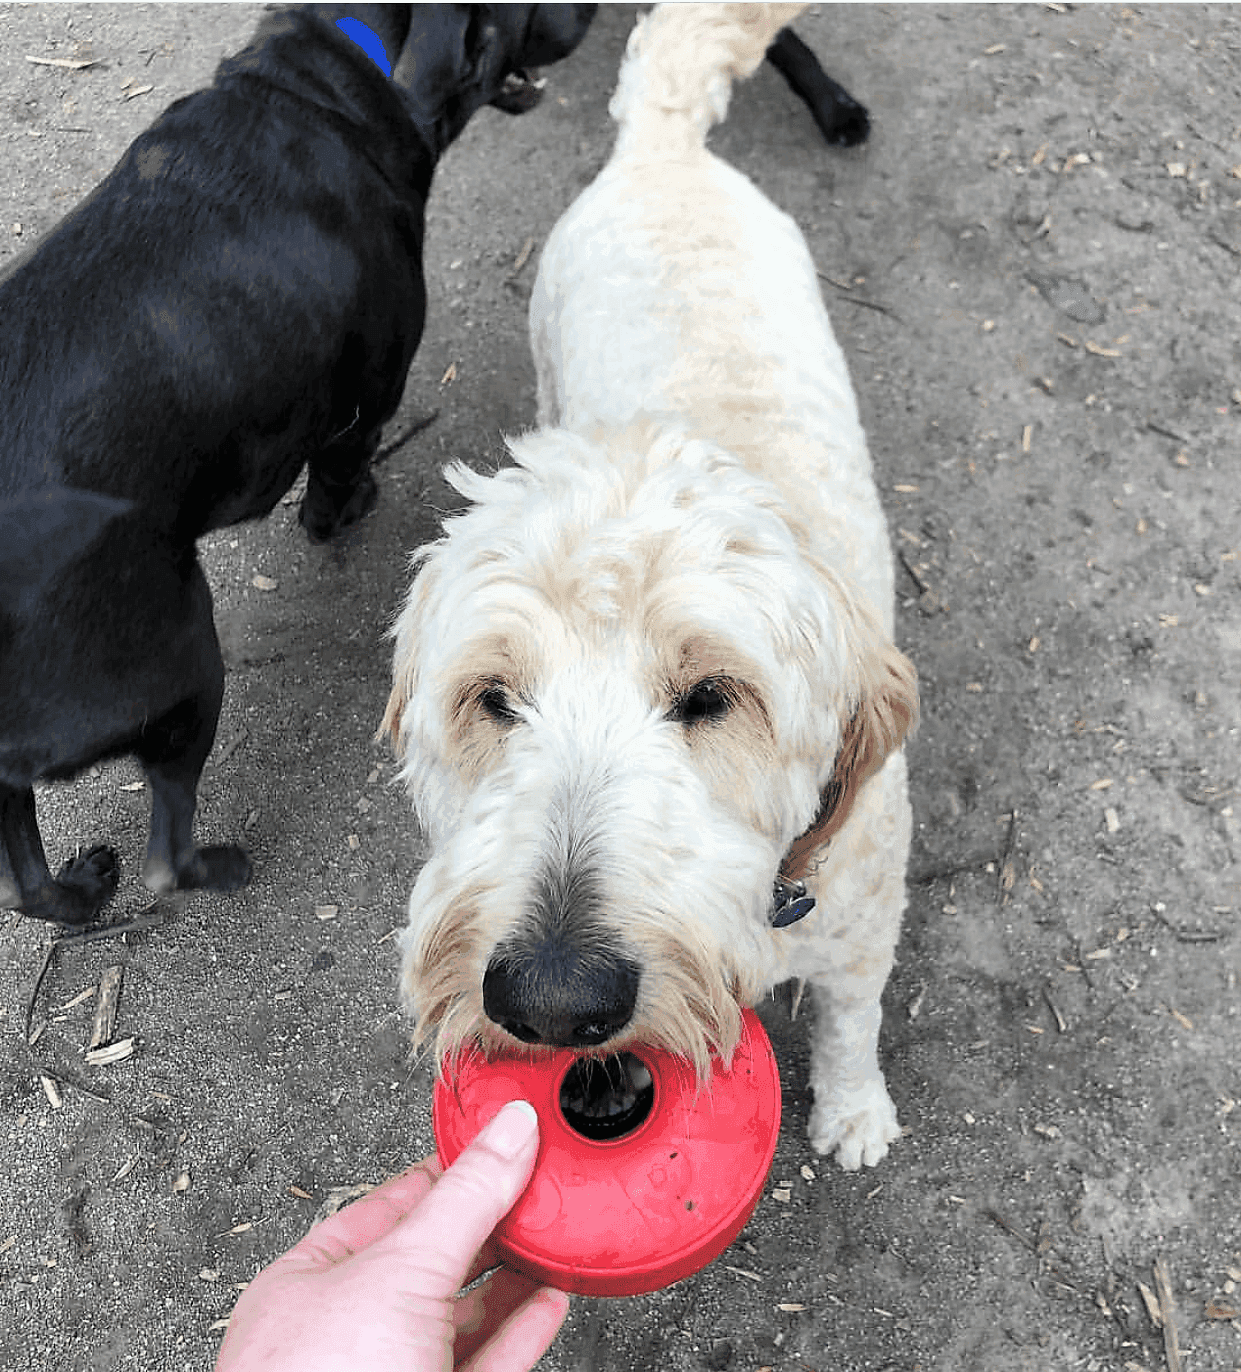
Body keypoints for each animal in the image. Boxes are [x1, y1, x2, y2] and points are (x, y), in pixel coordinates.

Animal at [0, 5, 595, 927]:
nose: (596, 14)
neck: (331, 74)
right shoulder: (365, 402)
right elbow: (335, 481)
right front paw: (348, 510)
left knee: (23, 882)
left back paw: (79, 889)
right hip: (184, 664)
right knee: (166, 860)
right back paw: (218, 867)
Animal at [381, 8, 916, 1168]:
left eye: (712, 696)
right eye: (493, 699)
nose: (549, 1001)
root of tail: (663, 140)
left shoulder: (863, 925)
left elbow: (854, 1020)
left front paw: (855, 1111)